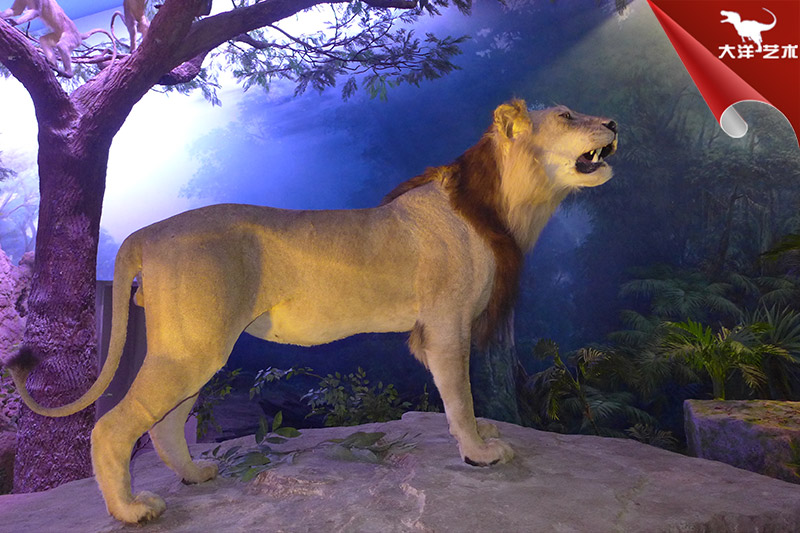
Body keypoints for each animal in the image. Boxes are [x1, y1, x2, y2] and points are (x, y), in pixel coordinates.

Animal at [6, 99, 617, 524]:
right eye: (566, 115)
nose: (612, 123)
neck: (506, 205)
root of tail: (148, 231)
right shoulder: (446, 325)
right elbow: (460, 398)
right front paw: (480, 452)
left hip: (195, 349)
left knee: (166, 424)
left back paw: (198, 475)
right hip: (192, 350)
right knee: (113, 426)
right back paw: (132, 510)